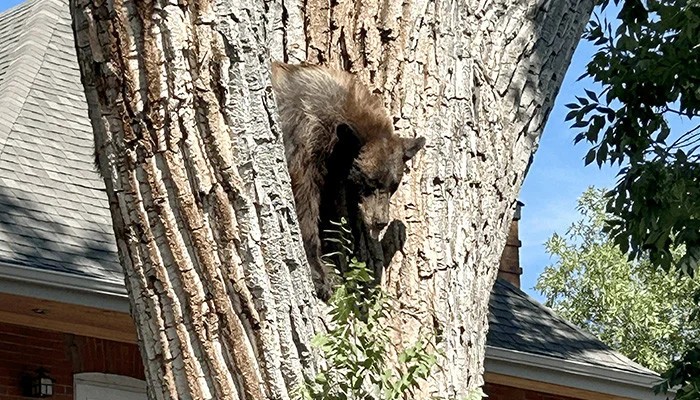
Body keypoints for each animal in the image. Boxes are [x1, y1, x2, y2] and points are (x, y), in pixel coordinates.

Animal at [271, 62, 425, 298]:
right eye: (370, 183)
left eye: (393, 187)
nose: (380, 221)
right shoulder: (302, 141)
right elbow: (304, 203)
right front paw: (321, 275)